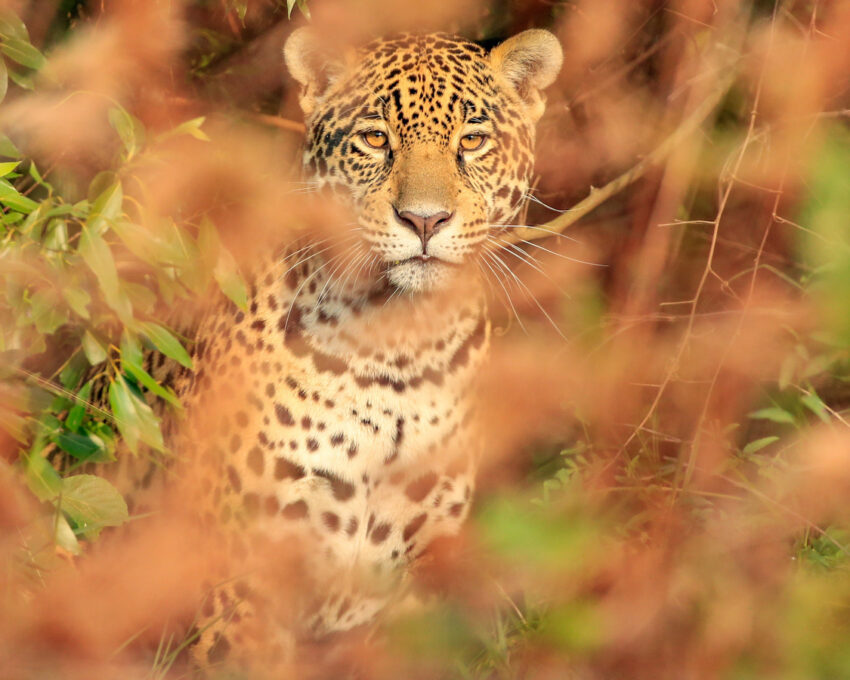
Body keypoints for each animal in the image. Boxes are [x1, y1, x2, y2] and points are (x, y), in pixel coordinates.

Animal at [153, 27, 563, 671]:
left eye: (472, 141)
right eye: (375, 138)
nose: (425, 220)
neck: (398, 349)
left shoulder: (417, 569)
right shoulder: (243, 577)